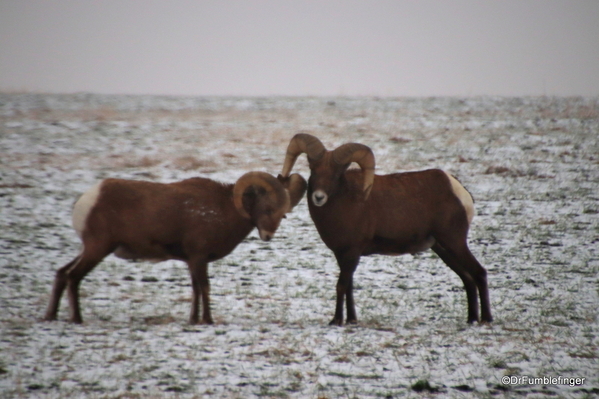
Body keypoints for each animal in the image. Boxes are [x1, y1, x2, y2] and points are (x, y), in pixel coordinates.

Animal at [44, 172, 308, 324]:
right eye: (267, 208)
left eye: (283, 213)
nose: (268, 236)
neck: (223, 210)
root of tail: (87, 200)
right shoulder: (199, 258)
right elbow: (205, 287)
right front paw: (207, 321)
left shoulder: (192, 261)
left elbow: (195, 289)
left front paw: (193, 320)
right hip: (97, 249)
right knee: (73, 277)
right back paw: (77, 319)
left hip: (89, 249)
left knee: (61, 273)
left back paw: (51, 316)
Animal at [280, 133, 492, 326]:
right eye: (312, 168)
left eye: (337, 173)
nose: (319, 197)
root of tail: (459, 191)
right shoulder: (342, 255)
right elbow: (348, 286)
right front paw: (352, 320)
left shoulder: (351, 253)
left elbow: (341, 286)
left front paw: (337, 321)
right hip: (442, 248)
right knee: (467, 278)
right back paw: (471, 319)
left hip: (454, 242)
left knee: (479, 273)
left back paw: (486, 319)